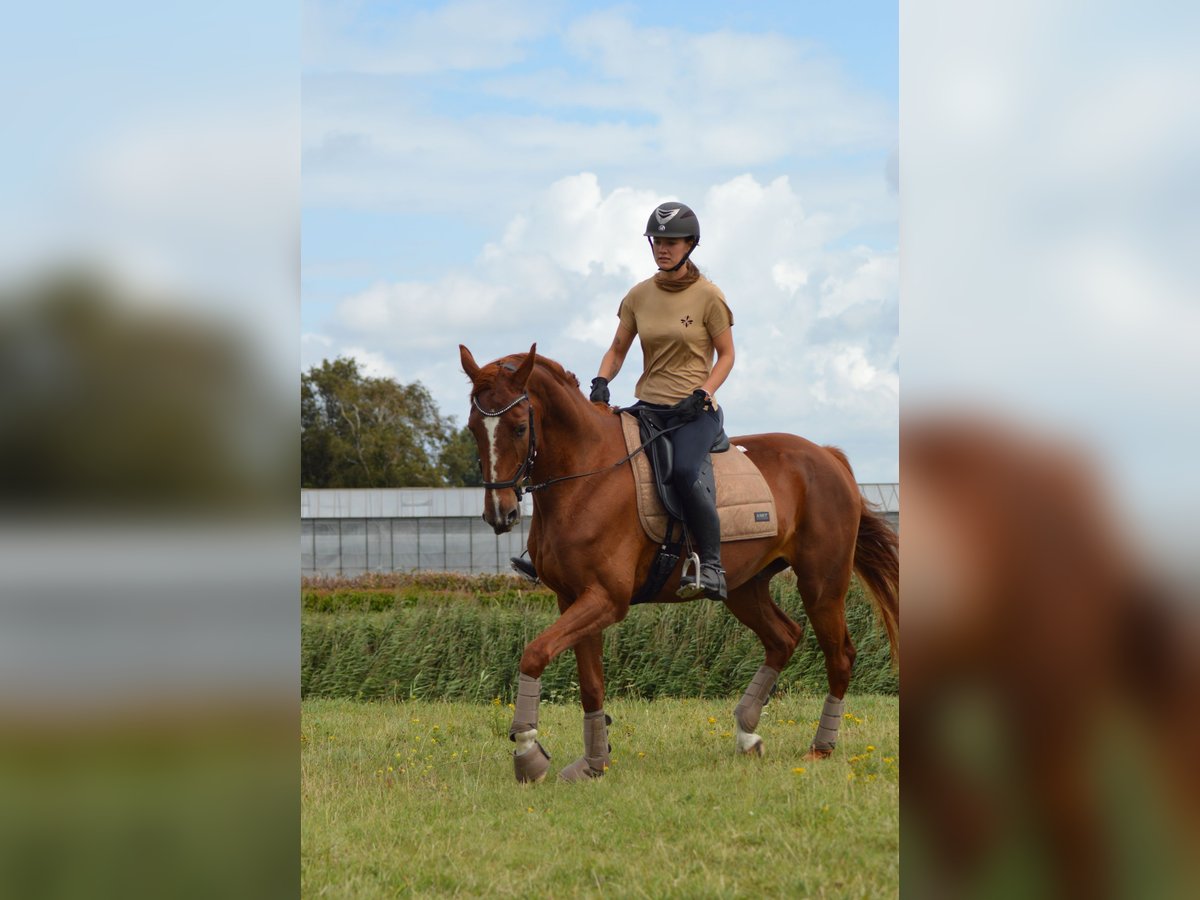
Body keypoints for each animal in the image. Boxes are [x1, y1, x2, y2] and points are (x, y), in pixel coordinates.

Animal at [460, 345, 902, 782]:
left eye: (519, 428)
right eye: (473, 429)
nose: (500, 514)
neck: (586, 476)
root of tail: (827, 456)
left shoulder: (605, 600)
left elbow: (534, 653)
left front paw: (527, 752)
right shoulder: (573, 599)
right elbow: (591, 685)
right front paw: (594, 763)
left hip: (821, 585)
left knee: (839, 656)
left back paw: (820, 748)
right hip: (744, 588)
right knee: (784, 637)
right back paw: (747, 733)